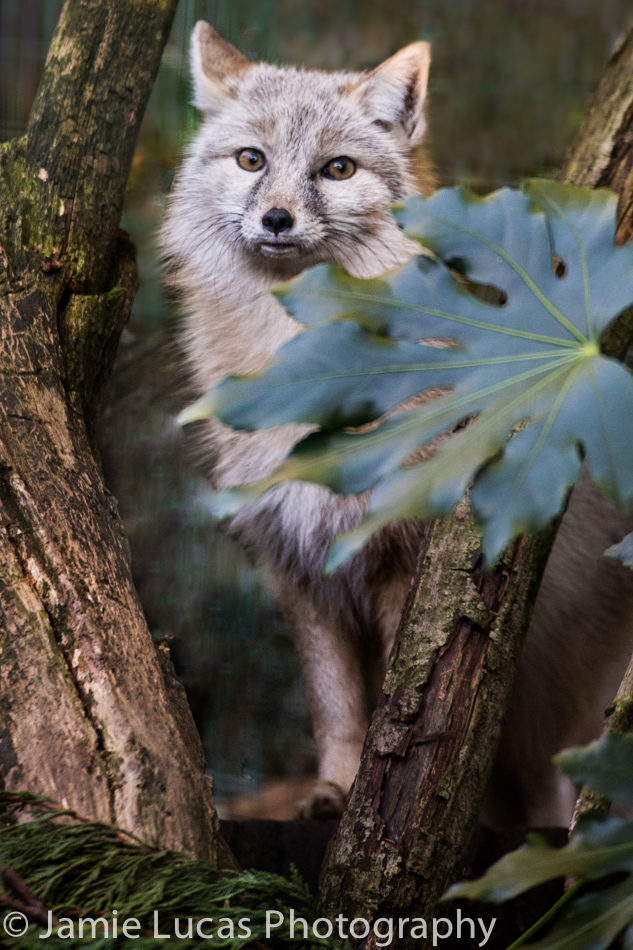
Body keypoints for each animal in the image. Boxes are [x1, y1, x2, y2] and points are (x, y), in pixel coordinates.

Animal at [159, 22, 633, 824]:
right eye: (252, 159)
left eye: (337, 169)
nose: (277, 218)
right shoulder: (299, 561)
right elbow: (334, 705)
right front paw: (334, 788)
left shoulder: (400, 556)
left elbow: (392, 697)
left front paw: (369, 801)